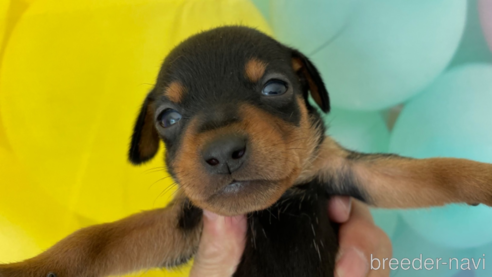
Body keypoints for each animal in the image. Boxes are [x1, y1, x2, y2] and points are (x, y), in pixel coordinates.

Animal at [0, 25, 492, 276]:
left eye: (275, 88)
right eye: (167, 118)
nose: (223, 152)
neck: (268, 208)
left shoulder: (343, 170)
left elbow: (432, 172)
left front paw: (481, 179)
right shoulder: (182, 222)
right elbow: (94, 240)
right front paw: (27, 267)